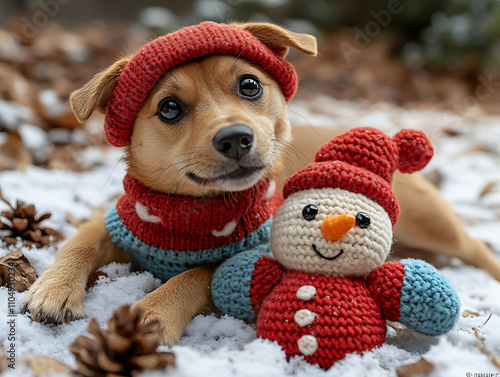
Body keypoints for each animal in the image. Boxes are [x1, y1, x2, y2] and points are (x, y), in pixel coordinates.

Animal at [22, 22, 500, 344]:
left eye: (250, 84)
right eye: (170, 108)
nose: (235, 137)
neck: (191, 216)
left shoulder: (251, 252)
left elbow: (198, 274)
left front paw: (151, 313)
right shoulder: (121, 221)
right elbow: (80, 240)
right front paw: (54, 289)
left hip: (432, 223)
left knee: (476, 246)